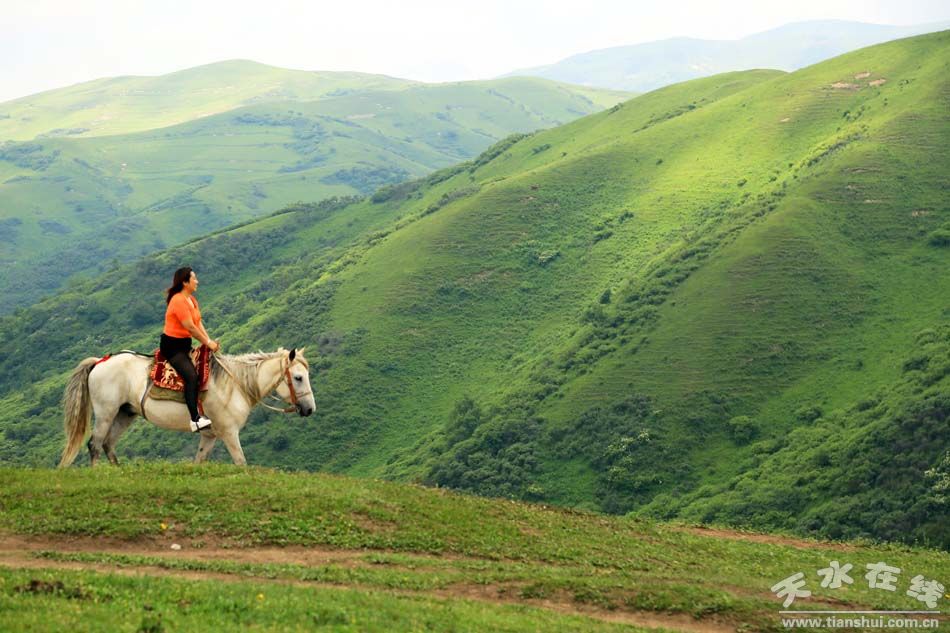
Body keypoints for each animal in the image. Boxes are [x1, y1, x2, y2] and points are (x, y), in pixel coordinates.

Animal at [59, 347, 315, 467]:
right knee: (95, 445)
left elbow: (199, 462)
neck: (235, 384)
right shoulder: (229, 433)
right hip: (106, 412)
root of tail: (100, 362)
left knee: (108, 444)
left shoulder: (210, 436)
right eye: (298, 378)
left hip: (125, 413)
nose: (310, 409)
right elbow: (241, 462)